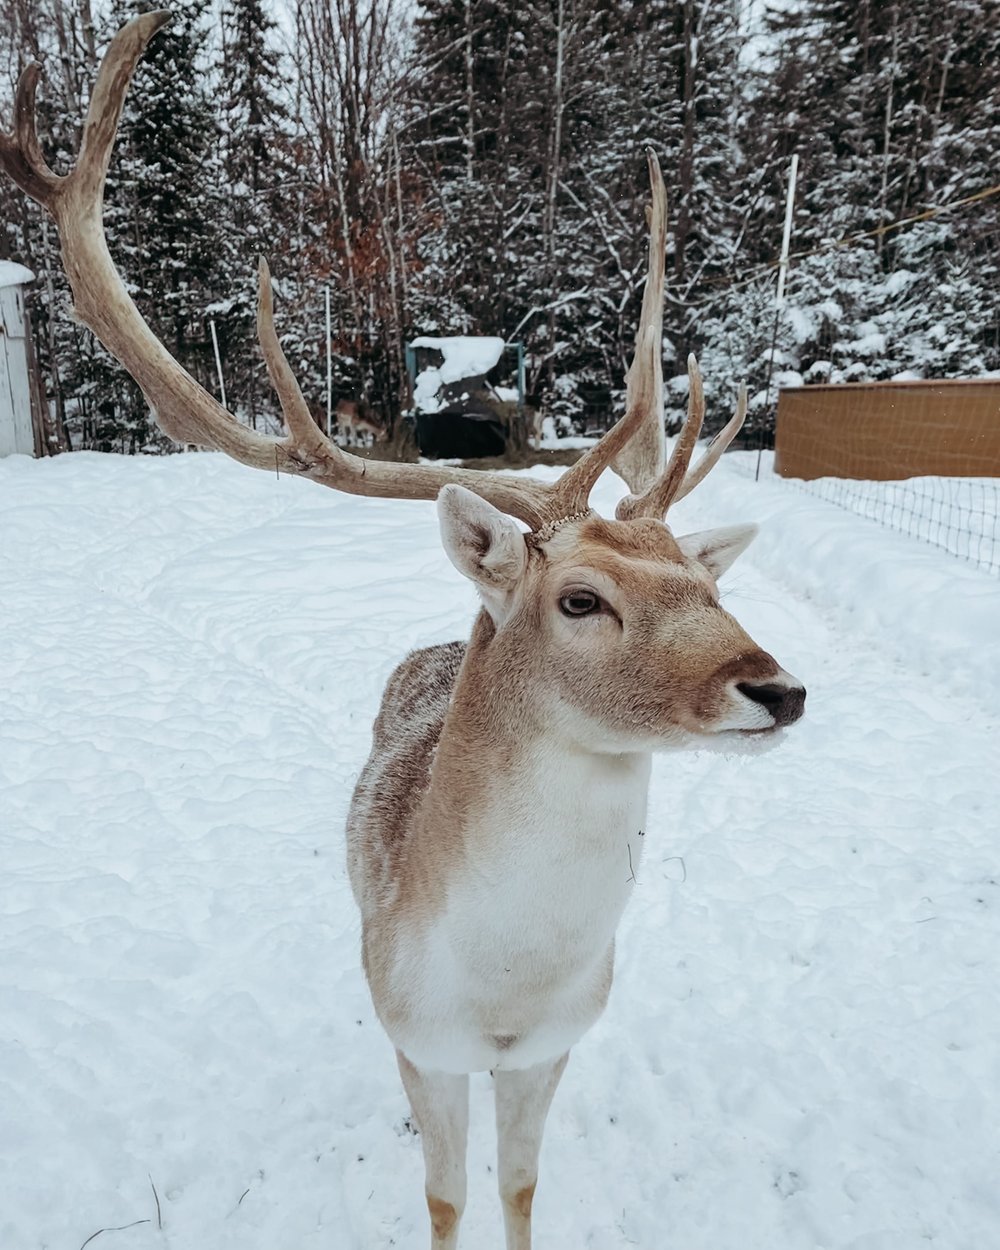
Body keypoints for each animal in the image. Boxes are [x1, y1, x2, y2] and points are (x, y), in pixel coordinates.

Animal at [0, 14, 805, 1245]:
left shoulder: (553, 1047)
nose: (776, 686)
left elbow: (519, 1187)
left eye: (703, 585)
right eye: (580, 598)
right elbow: (444, 1194)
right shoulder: (420, 1040)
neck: (500, 990)